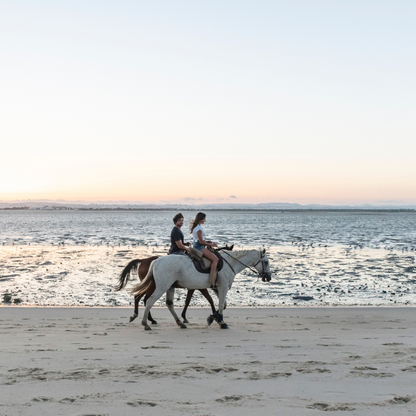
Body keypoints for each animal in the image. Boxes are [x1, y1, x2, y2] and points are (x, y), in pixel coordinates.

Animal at [131, 249, 272, 330]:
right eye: (265, 262)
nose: (269, 277)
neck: (230, 263)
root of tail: (156, 261)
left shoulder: (217, 288)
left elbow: (222, 304)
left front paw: (213, 318)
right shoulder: (223, 288)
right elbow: (221, 305)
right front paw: (222, 322)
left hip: (170, 286)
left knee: (169, 304)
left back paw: (180, 323)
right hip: (162, 286)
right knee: (150, 301)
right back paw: (145, 323)